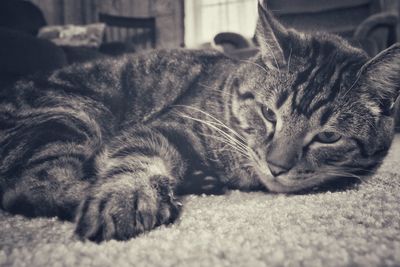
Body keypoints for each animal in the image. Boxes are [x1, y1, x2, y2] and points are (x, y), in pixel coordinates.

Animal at [0, 1, 398, 243]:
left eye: (327, 137)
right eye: (269, 114)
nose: (276, 167)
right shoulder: (165, 126)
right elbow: (135, 160)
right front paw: (127, 197)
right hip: (69, 114)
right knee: (31, 186)